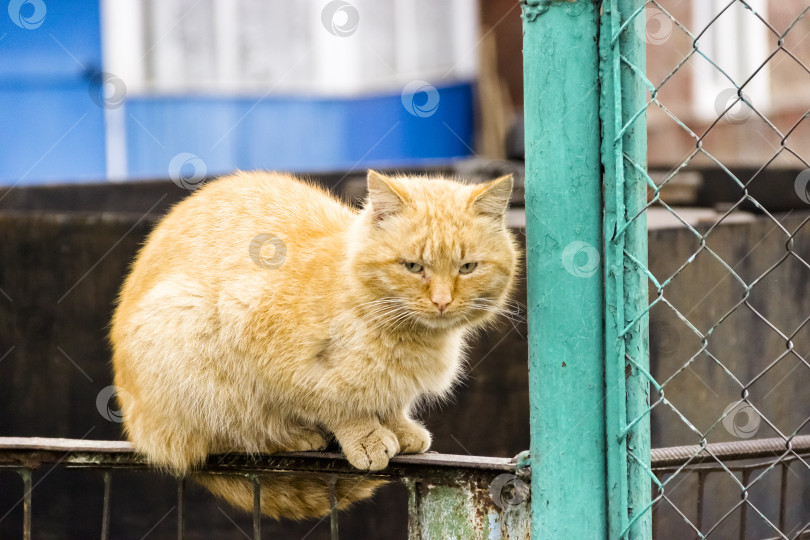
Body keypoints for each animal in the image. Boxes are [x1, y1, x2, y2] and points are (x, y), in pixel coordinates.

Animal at [110, 170, 516, 520]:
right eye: (413, 267)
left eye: (467, 267)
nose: (442, 302)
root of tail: (137, 430)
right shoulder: (270, 349)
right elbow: (337, 403)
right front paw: (365, 436)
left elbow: (389, 401)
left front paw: (399, 428)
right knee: (219, 441)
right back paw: (295, 436)